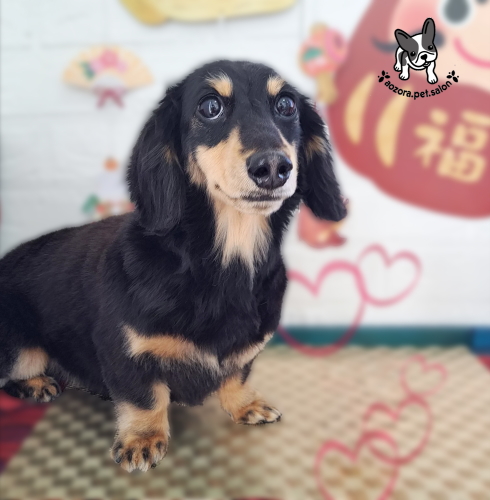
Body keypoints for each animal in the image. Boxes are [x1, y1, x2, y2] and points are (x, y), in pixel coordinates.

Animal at [0, 60, 346, 472]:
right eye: (210, 107)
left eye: (286, 105)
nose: (275, 166)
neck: (224, 263)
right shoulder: (125, 350)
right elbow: (145, 396)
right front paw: (143, 439)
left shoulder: (247, 348)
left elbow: (238, 374)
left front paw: (245, 404)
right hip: (22, 350)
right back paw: (36, 384)